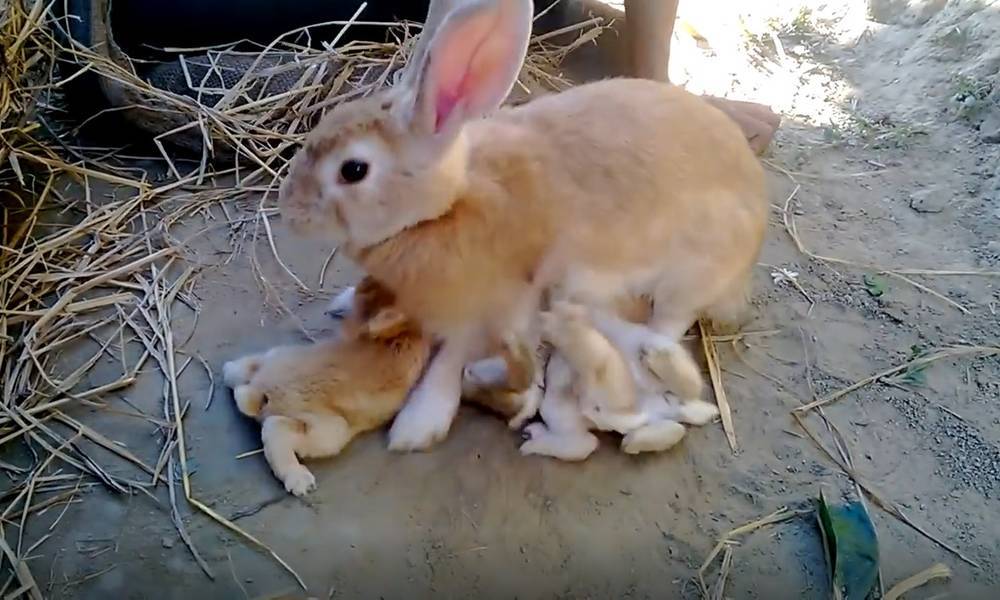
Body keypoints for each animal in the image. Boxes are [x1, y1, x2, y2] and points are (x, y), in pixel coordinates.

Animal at [280, 0, 764, 450]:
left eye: (353, 170)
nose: (290, 211)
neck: (445, 209)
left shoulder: (495, 303)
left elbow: (449, 359)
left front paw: (419, 423)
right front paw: (346, 302)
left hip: (687, 278)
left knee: (668, 323)